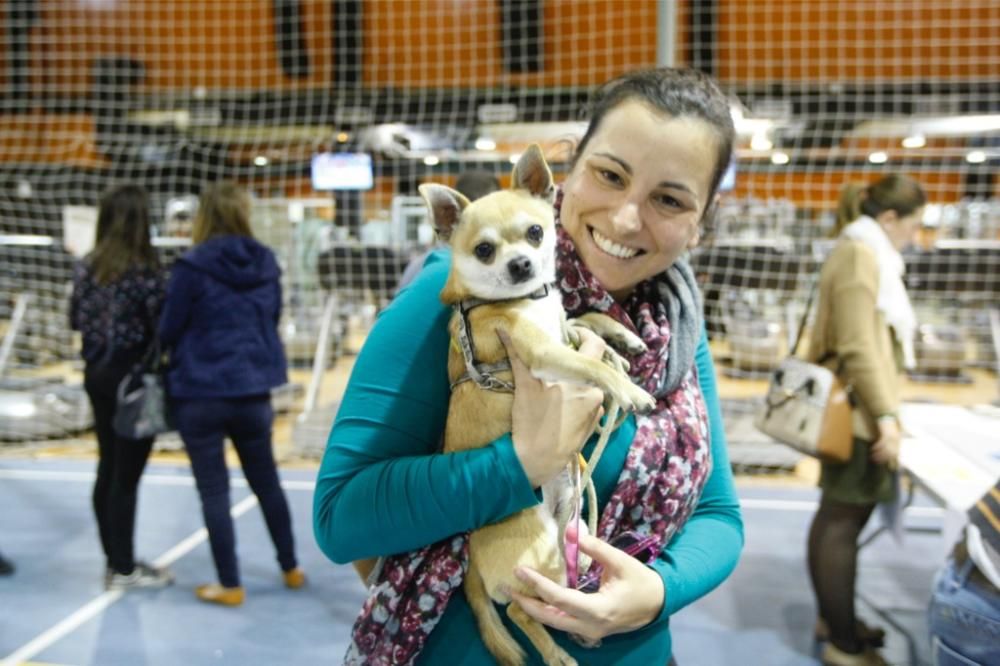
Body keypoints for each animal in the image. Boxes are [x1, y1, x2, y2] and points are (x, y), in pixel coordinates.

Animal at [420, 145, 656, 664]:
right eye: (484, 250)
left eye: (535, 232)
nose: (521, 265)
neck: (527, 300)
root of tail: (470, 560)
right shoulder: (544, 353)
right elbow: (591, 366)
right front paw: (630, 389)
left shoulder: (561, 327)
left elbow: (585, 319)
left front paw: (623, 338)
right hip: (536, 552)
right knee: (521, 611)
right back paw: (557, 653)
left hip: (572, 530)